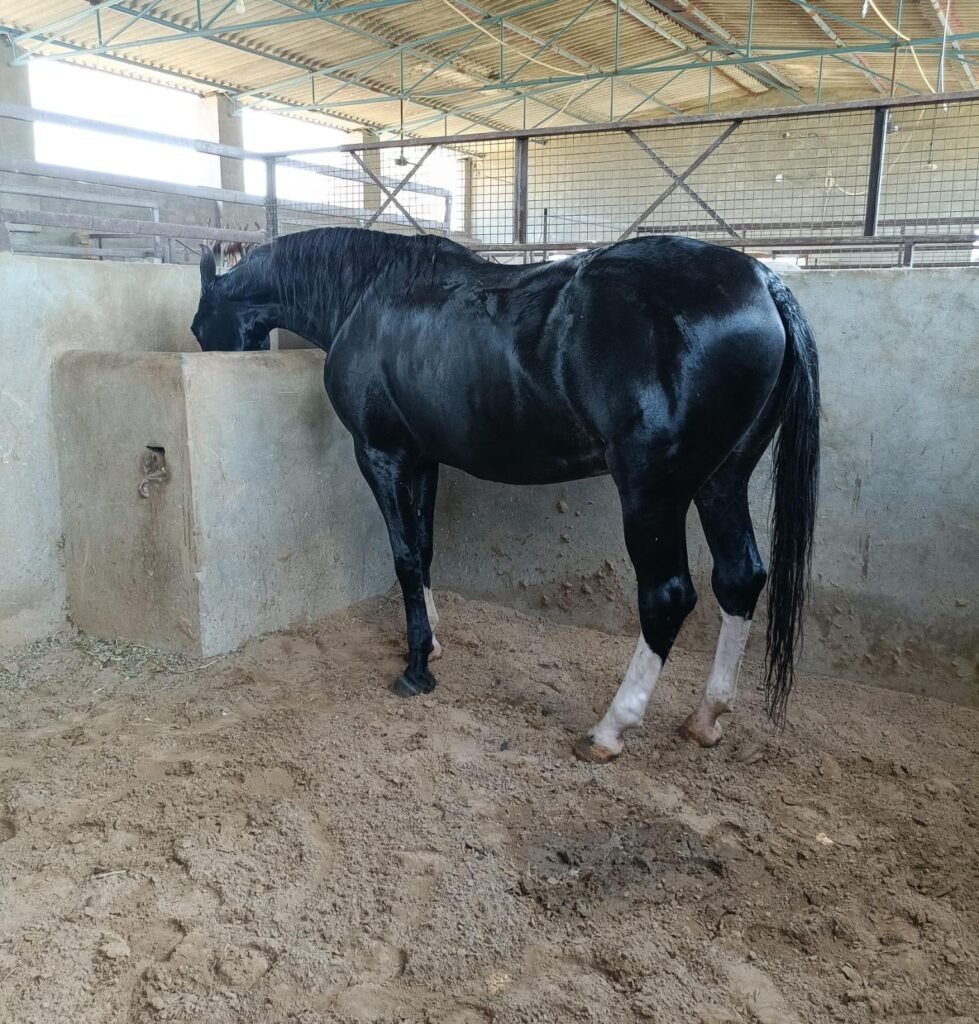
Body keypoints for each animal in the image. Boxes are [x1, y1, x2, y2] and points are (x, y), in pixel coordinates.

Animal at [191, 227, 819, 762]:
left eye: (200, 328)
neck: (365, 298)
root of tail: (765, 283)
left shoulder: (381, 455)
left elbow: (403, 556)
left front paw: (416, 669)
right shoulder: (424, 458)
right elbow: (424, 549)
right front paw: (432, 642)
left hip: (652, 494)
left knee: (667, 597)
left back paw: (610, 730)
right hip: (722, 482)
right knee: (739, 579)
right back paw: (706, 718)